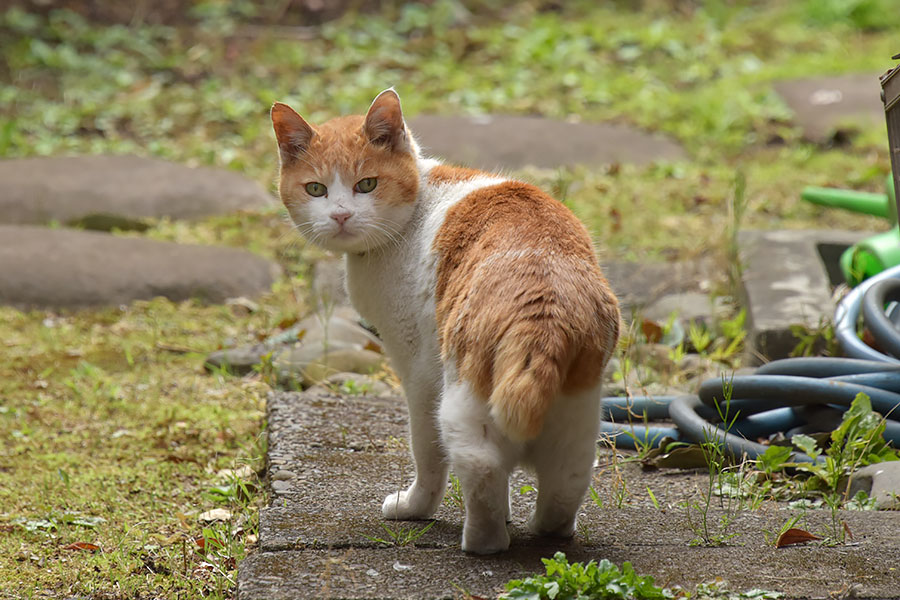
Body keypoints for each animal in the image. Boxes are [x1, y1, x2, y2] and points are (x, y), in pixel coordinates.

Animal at [270, 89, 624, 552]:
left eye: (367, 184)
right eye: (316, 189)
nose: (341, 215)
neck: (415, 211)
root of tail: (544, 299)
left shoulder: (416, 367)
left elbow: (427, 454)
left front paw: (414, 507)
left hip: (459, 399)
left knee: (481, 464)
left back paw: (480, 542)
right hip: (578, 412)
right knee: (569, 476)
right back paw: (550, 530)